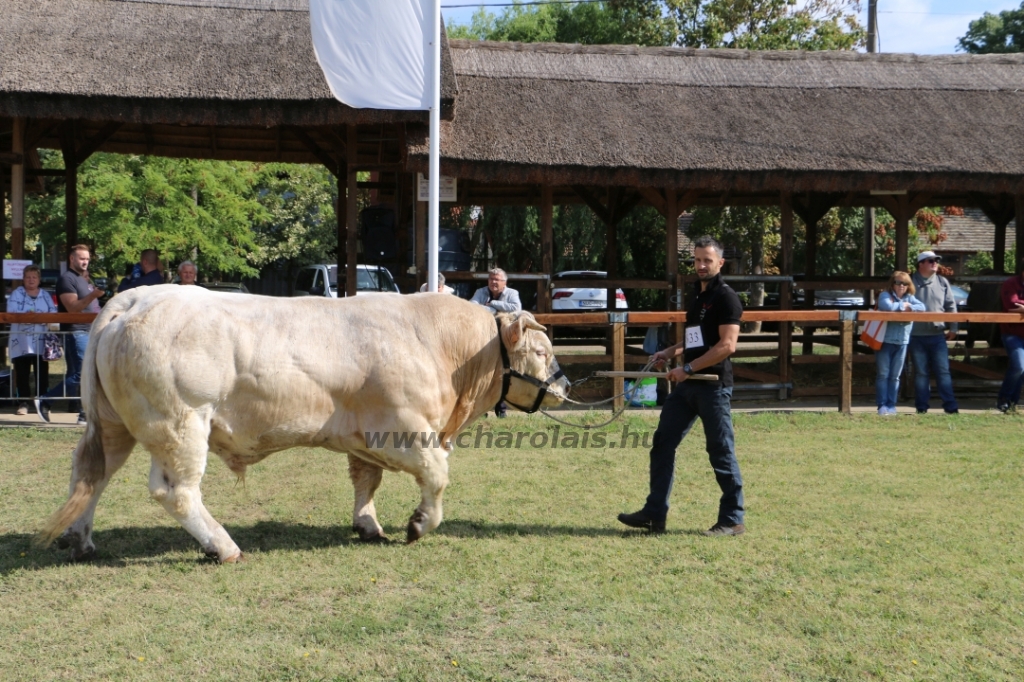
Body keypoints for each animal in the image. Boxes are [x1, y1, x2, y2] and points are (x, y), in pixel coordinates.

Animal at [37, 284, 569, 561]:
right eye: (543, 351)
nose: (566, 386)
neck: (439, 346)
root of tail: (134, 299)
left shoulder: (361, 437)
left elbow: (366, 480)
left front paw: (367, 524)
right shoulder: (403, 429)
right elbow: (436, 474)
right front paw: (419, 524)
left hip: (116, 425)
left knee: (92, 473)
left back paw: (80, 539)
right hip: (181, 424)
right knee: (176, 492)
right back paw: (223, 546)